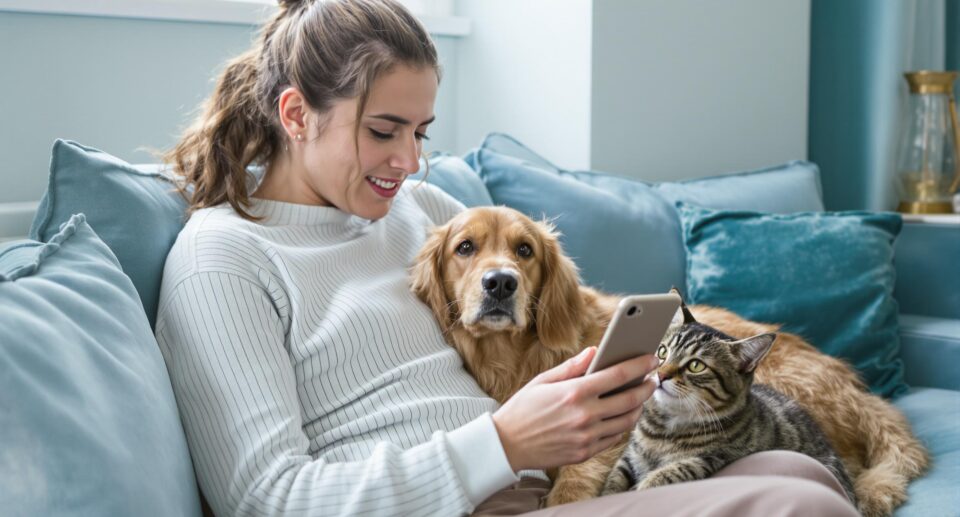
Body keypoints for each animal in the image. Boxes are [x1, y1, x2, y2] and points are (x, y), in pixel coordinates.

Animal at [604, 300, 860, 506]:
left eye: (696, 365)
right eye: (662, 351)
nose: (661, 374)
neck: (666, 428)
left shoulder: (714, 458)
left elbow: (668, 473)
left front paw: (642, 488)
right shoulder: (630, 456)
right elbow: (614, 479)